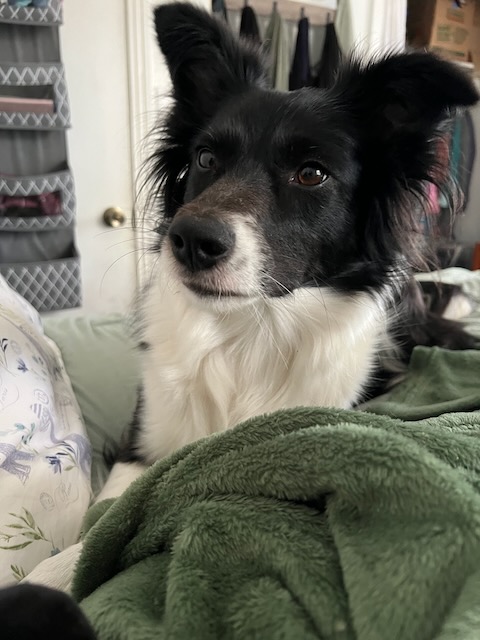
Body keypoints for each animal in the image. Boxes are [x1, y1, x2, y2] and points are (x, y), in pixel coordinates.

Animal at [26, 2, 480, 592]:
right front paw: (51, 572)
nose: (190, 241)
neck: (250, 328)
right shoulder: (141, 439)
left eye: (311, 173)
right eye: (204, 159)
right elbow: (107, 514)